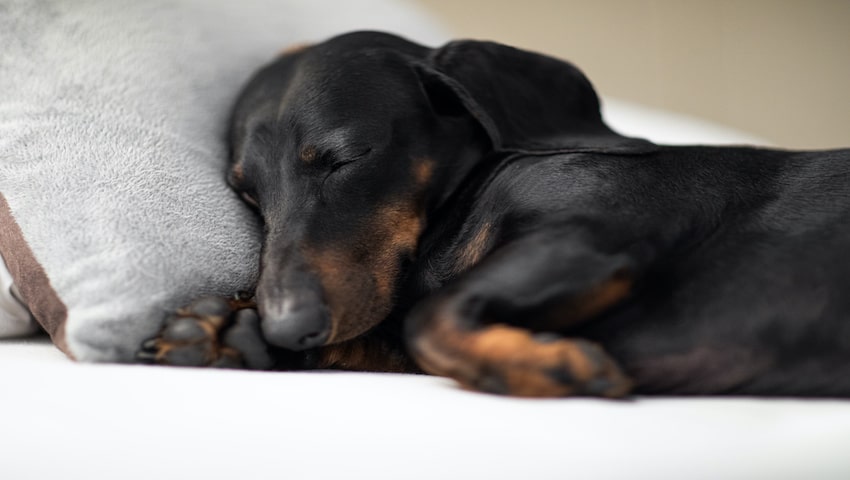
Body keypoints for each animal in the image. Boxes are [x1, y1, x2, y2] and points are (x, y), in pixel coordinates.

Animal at [141, 31, 848, 398]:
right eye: (247, 193)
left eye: (345, 156)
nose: (288, 328)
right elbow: (391, 332)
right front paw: (220, 329)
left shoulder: (597, 233)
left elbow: (427, 319)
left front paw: (554, 366)